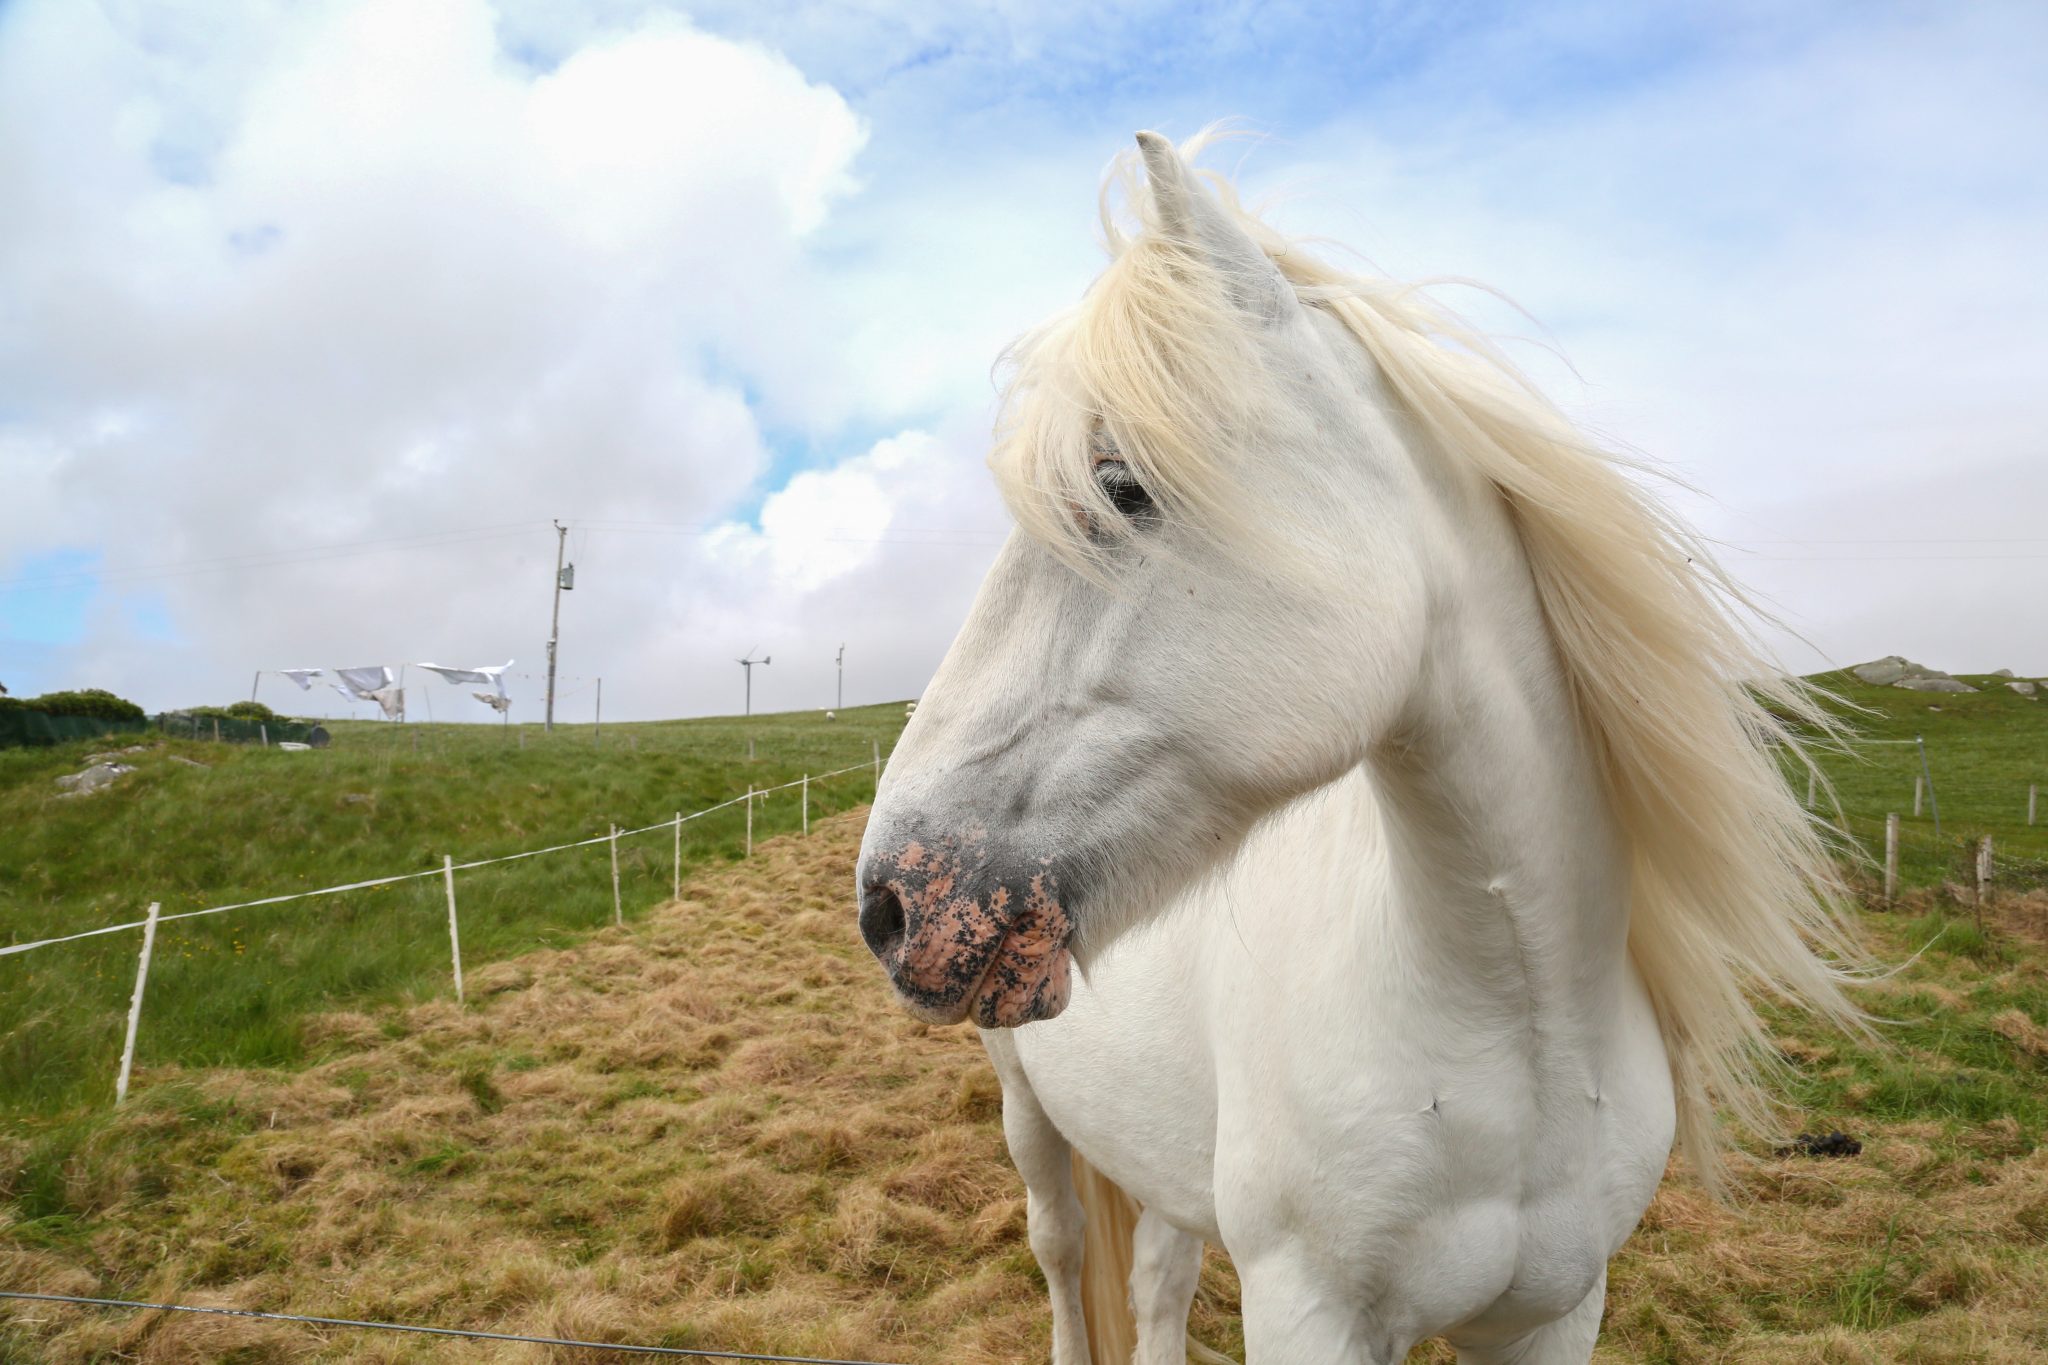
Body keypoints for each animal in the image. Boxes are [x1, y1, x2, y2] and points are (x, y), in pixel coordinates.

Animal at [853, 130, 1860, 1363]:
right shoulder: (1308, 1312)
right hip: (1028, 1112)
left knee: (1156, 1280)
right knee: (1061, 1256)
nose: (891, 901)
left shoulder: (1555, 1313)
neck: (1516, 1038)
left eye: (1121, 485)